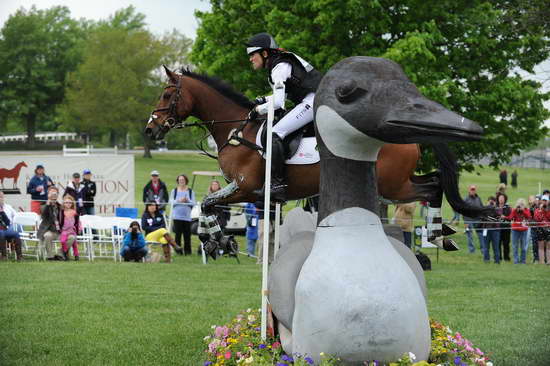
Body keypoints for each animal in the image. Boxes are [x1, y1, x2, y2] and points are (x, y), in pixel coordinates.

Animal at [146, 67, 492, 224]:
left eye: (167, 94)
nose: (150, 129)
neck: (236, 126)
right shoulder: (243, 190)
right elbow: (209, 204)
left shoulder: (246, 187)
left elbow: (208, 203)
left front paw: (216, 239)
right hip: (397, 181)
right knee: (434, 180)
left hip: (392, 185)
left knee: (432, 187)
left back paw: (436, 233)